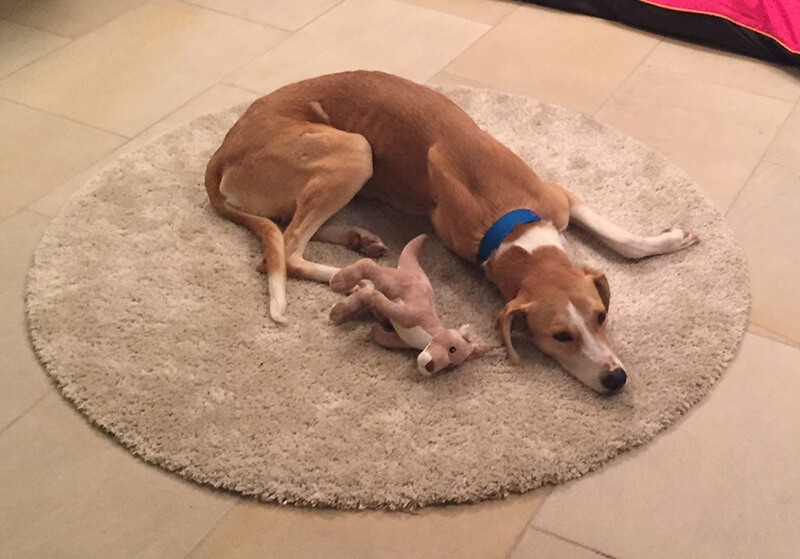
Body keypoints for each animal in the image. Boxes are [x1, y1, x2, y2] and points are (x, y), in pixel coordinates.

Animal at [205, 71, 698, 394]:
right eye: (560, 336)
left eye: (601, 317)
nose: (616, 379)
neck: (515, 227)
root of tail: (223, 150)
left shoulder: (558, 198)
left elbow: (622, 239)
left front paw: (669, 240)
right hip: (355, 151)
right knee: (284, 252)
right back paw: (350, 273)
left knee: (285, 236)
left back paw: (358, 239)